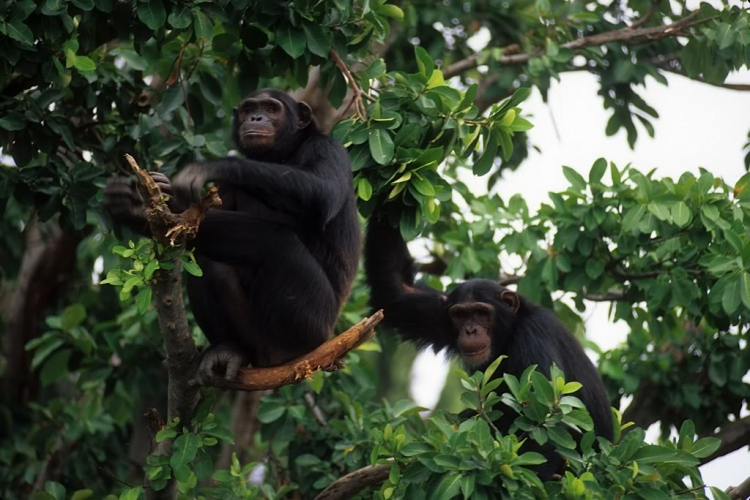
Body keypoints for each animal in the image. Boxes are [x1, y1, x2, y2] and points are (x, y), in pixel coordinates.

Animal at [104, 90, 362, 378]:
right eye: (249, 108)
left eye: (271, 109)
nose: (256, 117)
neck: (282, 155)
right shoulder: (225, 190)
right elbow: (194, 218)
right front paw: (158, 192)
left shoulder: (329, 148)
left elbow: (323, 191)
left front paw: (209, 167)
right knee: (210, 261)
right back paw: (227, 349)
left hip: (312, 326)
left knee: (275, 241)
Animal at [366, 217, 616, 478]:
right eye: (460, 315)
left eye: (481, 313)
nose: (470, 330)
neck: (510, 331)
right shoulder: (438, 312)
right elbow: (395, 291)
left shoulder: (534, 338)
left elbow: (544, 424)